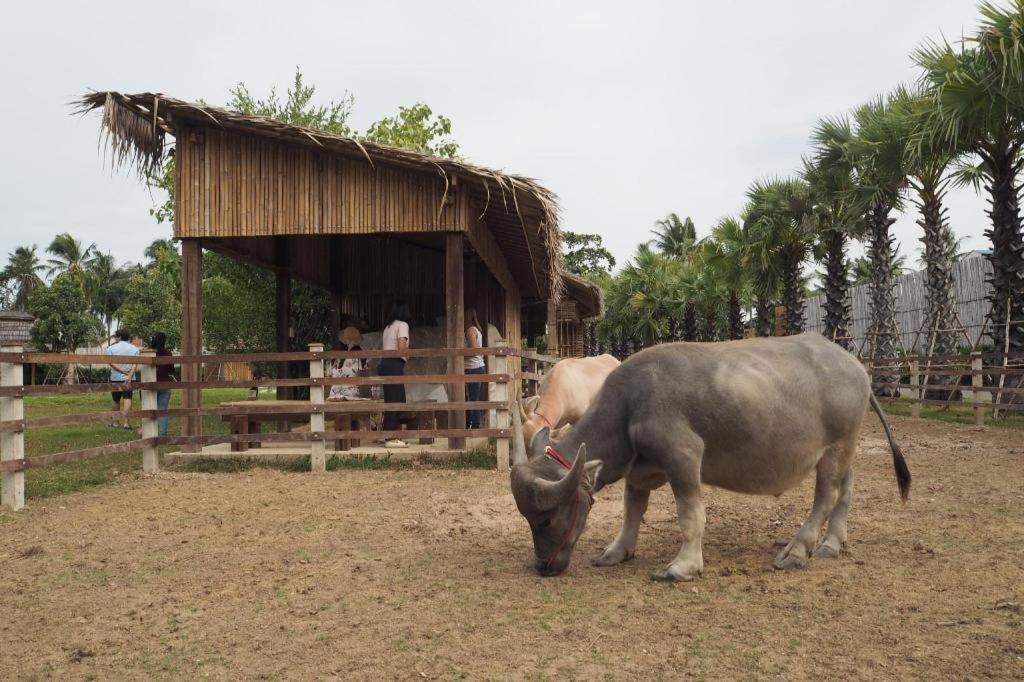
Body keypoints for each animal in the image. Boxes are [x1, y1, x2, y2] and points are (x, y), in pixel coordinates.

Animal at [512, 331, 913, 577]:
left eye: (545, 519)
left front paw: (683, 566)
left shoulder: (683, 457)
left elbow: (690, 514)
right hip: (844, 449)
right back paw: (832, 543)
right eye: (528, 518)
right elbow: (632, 511)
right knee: (847, 488)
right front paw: (616, 551)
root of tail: (856, 367)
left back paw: (798, 551)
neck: (631, 403)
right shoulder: (641, 469)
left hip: (835, 448)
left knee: (826, 495)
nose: (543, 565)